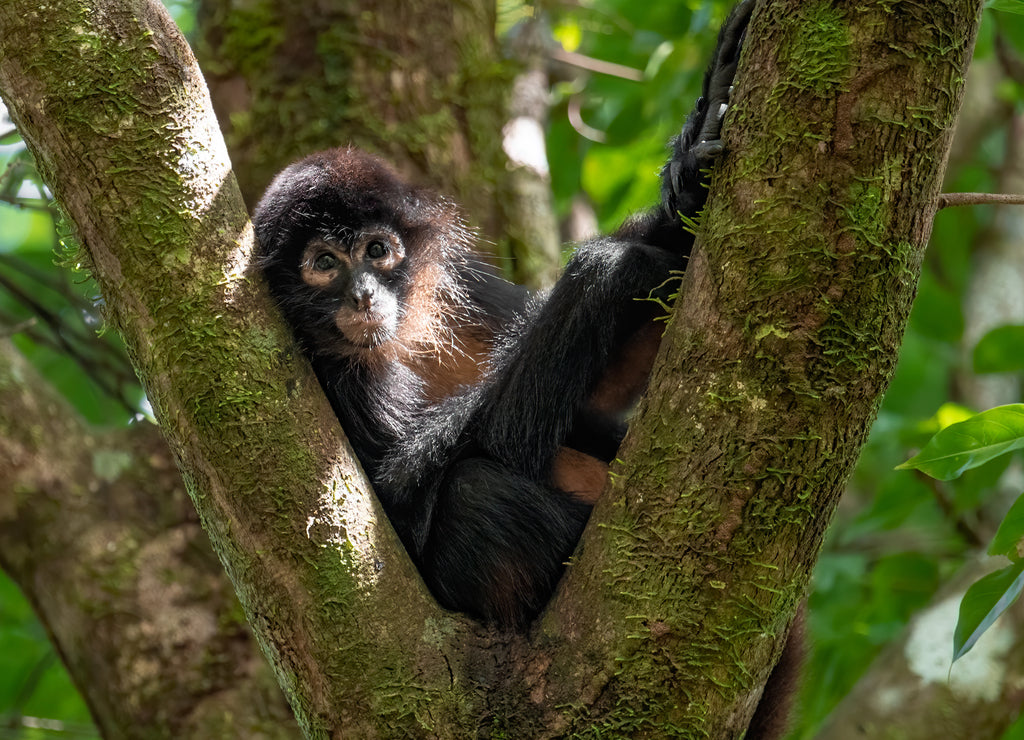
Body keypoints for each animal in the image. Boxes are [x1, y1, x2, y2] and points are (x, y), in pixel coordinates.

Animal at [254, 0, 754, 629]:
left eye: (376, 251)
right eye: (324, 263)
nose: (363, 295)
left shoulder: (462, 286)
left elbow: (597, 402)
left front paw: (691, 175)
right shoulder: (329, 372)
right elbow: (398, 504)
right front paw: (613, 263)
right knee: (473, 490)